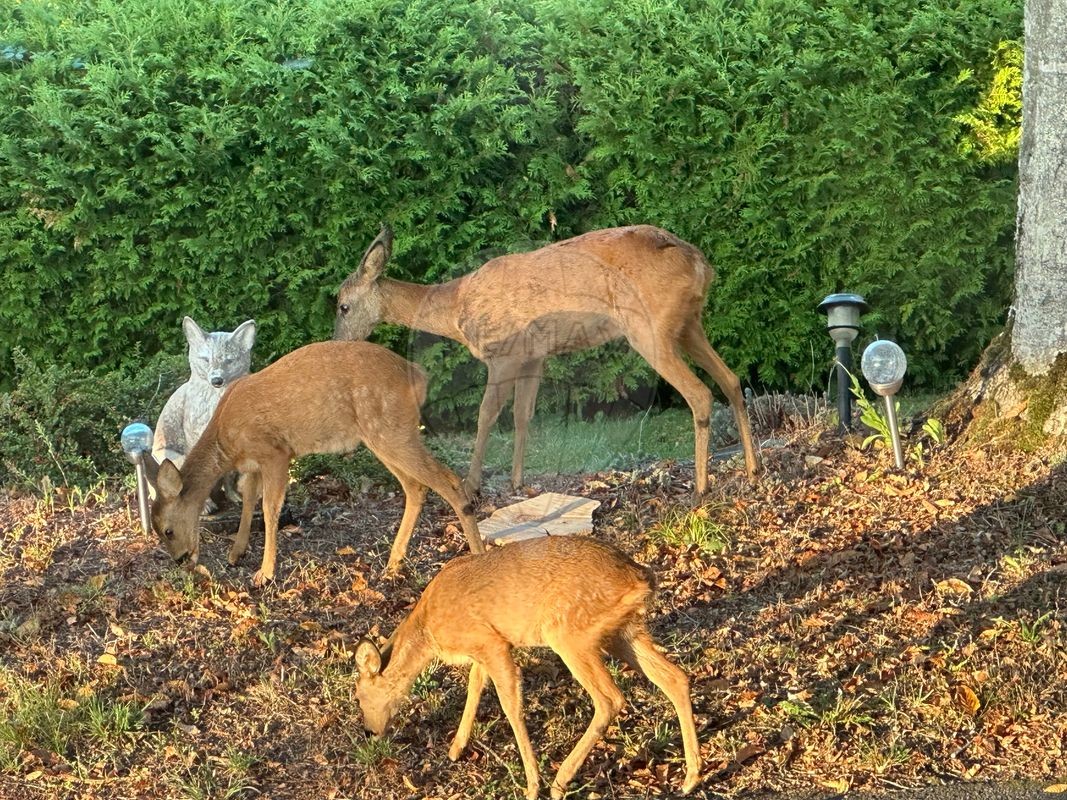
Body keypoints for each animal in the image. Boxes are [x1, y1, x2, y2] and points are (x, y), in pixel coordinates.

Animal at [145, 341, 484, 584]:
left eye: (168, 531)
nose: (181, 559)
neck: (225, 441)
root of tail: (418, 374)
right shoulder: (254, 463)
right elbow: (248, 501)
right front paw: (235, 553)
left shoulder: (275, 452)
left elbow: (269, 509)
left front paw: (264, 573)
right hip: (385, 436)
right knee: (416, 488)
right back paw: (392, 564)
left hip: (391, 429)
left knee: (449, 481)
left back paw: (477, 554)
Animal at [332, 226, 759, 501]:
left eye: (343, 305)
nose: (336, 343)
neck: (455, 309)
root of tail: (699, 262)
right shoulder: (533, 356)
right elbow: (523, 415)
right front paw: (518, 482)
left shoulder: (503, 352)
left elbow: (486, 415)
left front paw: (472, 485)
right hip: (688, 323)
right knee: (731, 379)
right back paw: (753, 469)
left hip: (648, 329)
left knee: (700, 393)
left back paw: (701, 488)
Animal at [354, 533, 699, 800]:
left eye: (358, 696)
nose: (370, 731)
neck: (429, 630)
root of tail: (641, 579)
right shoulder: (486, 645)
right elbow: (475, 687)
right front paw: (456, 748)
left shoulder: (490, 642)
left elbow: (510, 706)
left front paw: (531, 785)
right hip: (622, 632)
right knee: (675, 677)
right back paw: (690, 778)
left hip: (569, 632)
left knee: (610, 699)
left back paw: (559, 783)